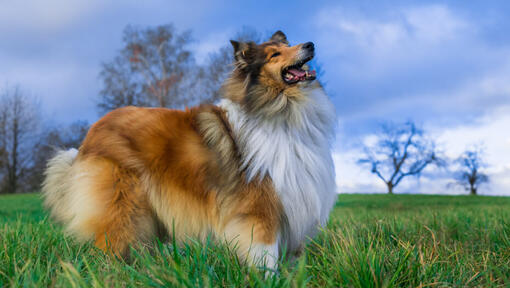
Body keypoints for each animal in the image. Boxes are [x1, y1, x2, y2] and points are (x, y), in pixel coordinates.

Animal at [43, 30, 336, 268]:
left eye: (287, 45)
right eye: (275, 54)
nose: (310, 44)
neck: (283, 111)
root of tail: (91, 134)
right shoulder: (260, 208)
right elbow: (266, 256)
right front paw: (269, 279)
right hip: (123, 205)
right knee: (110, 246)